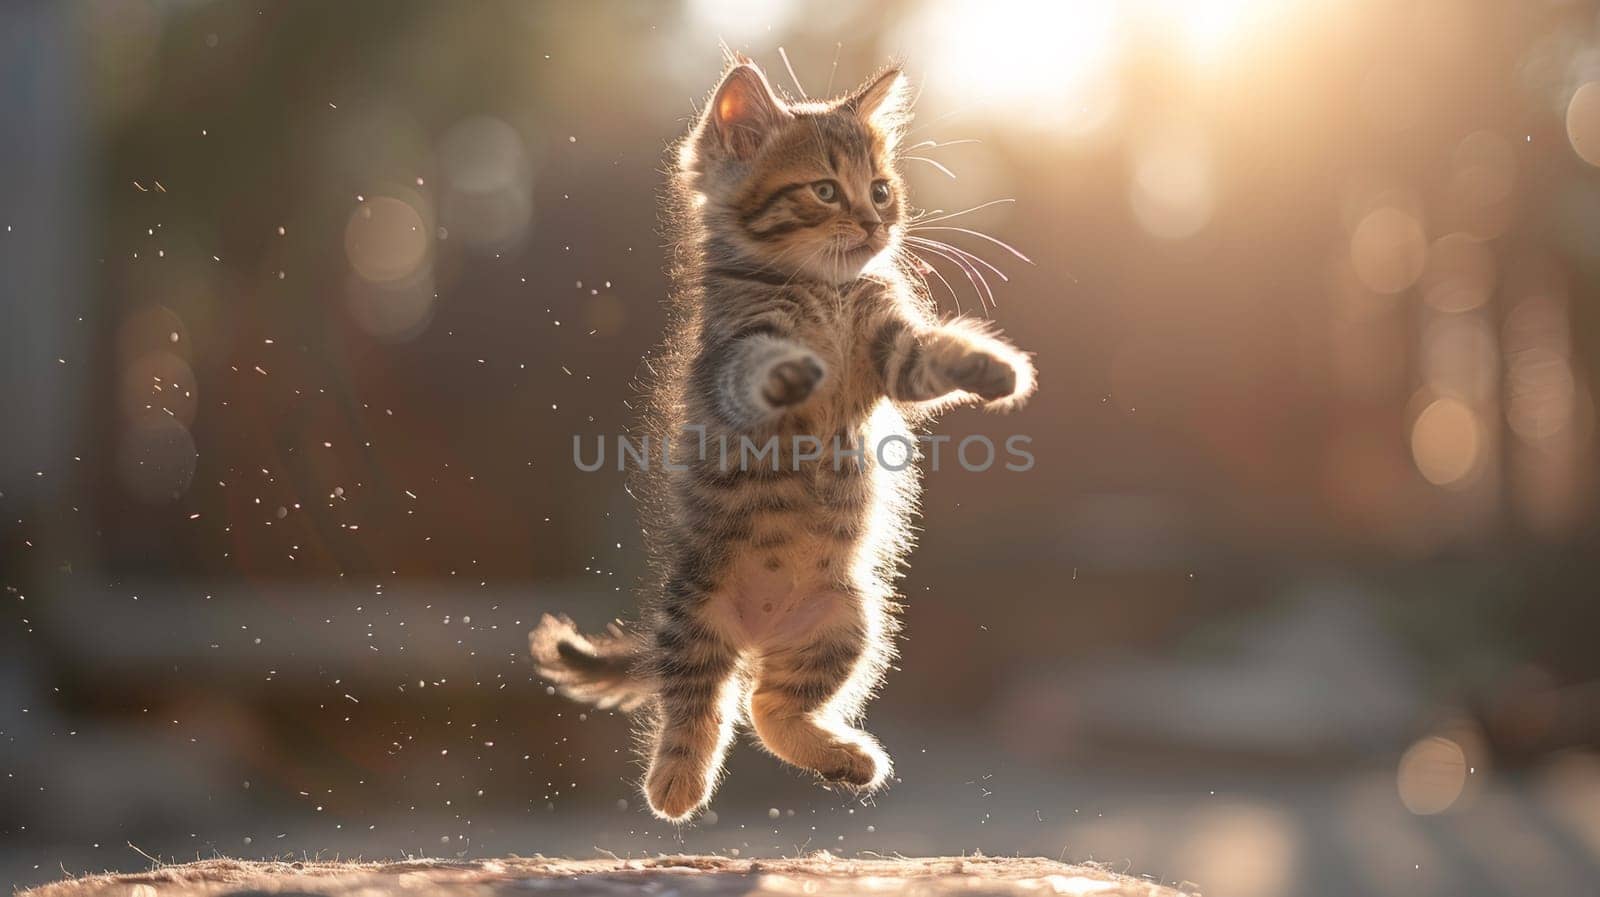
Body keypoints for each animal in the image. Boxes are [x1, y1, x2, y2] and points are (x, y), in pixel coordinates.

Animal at [531, 59, 1036, 825]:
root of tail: (755, 634)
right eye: (825, 190)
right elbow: (759, 365)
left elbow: (933, 353)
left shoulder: (892, 347)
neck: (823, 289)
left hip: (846, 623)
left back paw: (846, 757)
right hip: (696, 617)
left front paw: (993, 367)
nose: (876, 220)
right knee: (699, 704)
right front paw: (794, 370)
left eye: (881, 188)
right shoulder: (731, 354)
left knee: (769, 706)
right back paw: (675, 786)